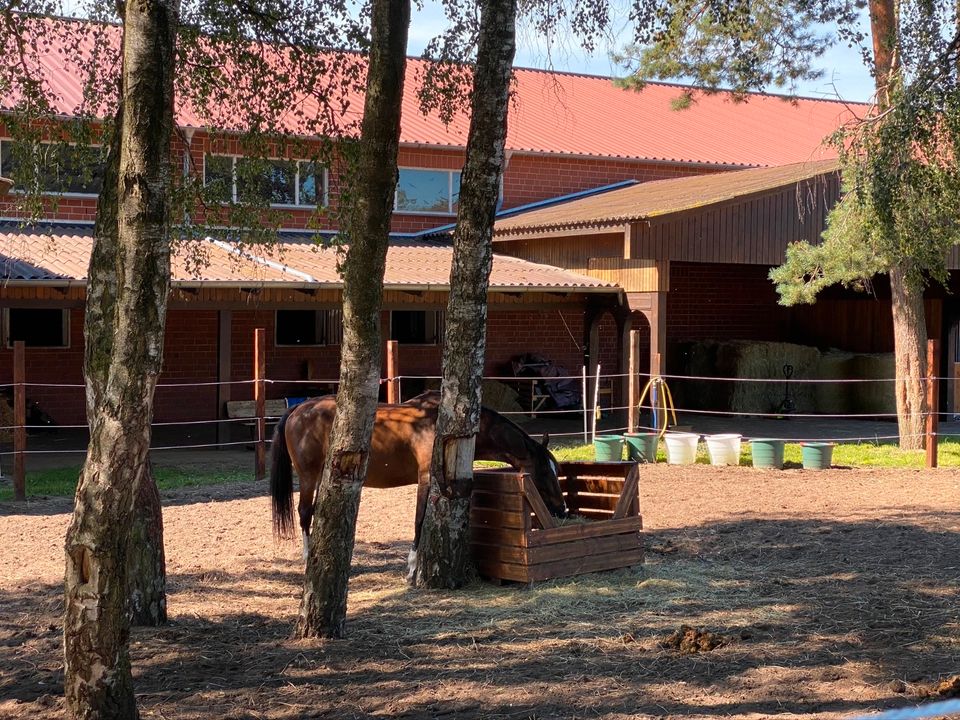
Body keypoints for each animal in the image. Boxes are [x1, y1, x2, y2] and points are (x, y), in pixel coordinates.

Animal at [270, 390, 568, 572]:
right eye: (544, 472)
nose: (562, 509)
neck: (442, 425)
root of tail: (298, 409)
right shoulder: (426, 478)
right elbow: (419, 520)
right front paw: (413, 567)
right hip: (309, 476)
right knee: (304, 513)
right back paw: (308, 558)